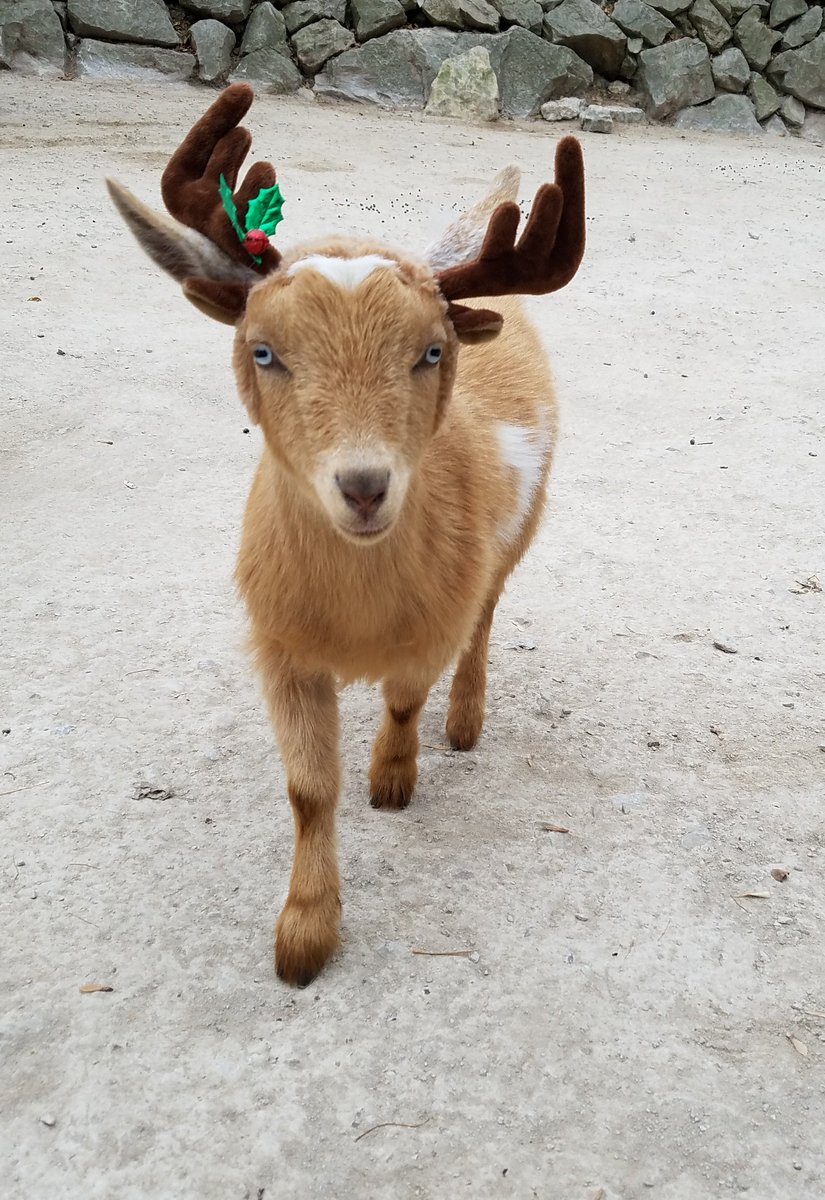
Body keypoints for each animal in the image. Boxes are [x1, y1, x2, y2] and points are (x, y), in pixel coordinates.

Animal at [107, 84, 585, 986]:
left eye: (430, 351)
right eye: (263, 351)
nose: (363, 487)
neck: (357, 612)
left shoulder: (433, 622)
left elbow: (404, 698)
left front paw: (390, 779)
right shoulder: (280, 645)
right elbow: (306, 789)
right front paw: (302, 937)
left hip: (521, 530)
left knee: (488, 617)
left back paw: (464, 724)